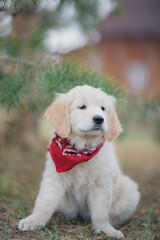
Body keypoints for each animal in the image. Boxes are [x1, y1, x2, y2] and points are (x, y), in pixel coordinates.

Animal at [18, 84, 139, 238]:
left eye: (103, 108)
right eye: (82, 107)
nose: (99, 119)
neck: (80, 148)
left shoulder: (100, 183)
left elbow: (101, 212)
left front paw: (105, 230)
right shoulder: (54, 178)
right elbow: (44, 202)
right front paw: (34, 220)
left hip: (130, 189)